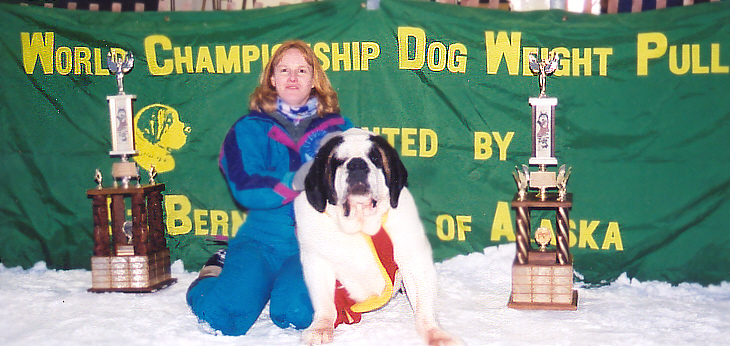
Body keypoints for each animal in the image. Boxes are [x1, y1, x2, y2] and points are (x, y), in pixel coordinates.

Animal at [292, 128, 458, 344]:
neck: (360, 225)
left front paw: (434, 333)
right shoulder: (317, 261)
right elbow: (324, 301)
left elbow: (423, 303)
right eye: (338, 160)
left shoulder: (413, 259)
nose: (356, 164)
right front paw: (320, 327)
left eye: (375, 158)